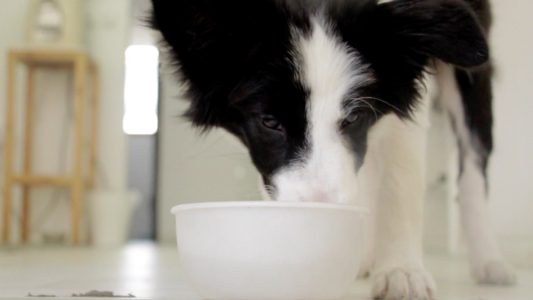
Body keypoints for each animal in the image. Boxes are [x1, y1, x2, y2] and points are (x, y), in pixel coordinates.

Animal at [151, 0, 516, 298]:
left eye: (354, 117)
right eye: (269, 122)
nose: (321, 214)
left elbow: (401, 179)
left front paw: (402, 270)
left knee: (472, 165)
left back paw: (489, 261)